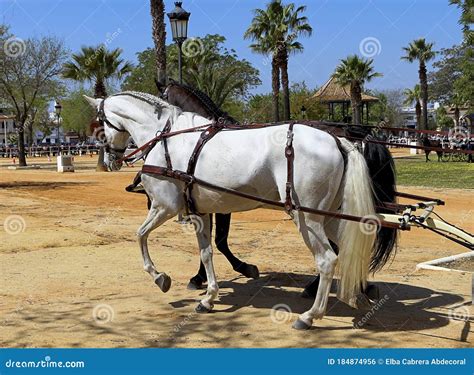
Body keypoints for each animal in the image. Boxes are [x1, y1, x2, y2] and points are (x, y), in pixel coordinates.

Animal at [86, 92, 378, 330]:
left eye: (100, 124)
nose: (110, 159)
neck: (166, 137)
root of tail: (338, 140)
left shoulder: (164, 207)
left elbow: (140, 235)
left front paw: (160, 277)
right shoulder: (200, 212)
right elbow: (206, 253)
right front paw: (208, 297)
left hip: (307, 218)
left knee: (327, 260)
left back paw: (309, 316)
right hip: (330, 218)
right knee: (351, 249)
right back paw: (358, 294)